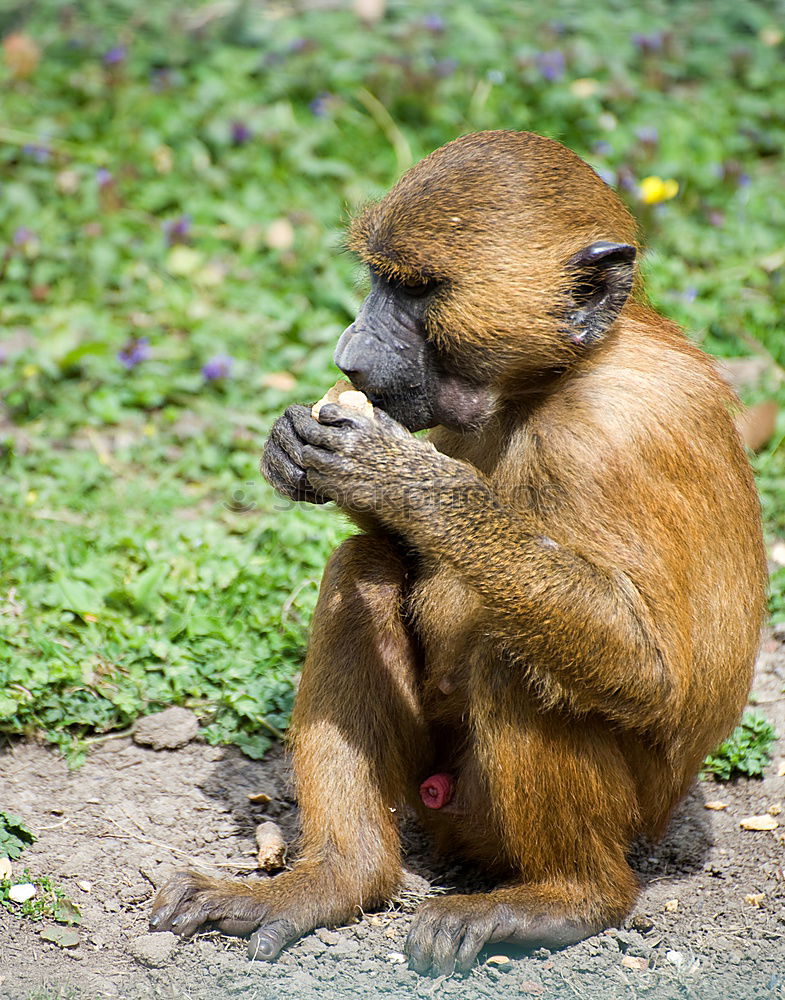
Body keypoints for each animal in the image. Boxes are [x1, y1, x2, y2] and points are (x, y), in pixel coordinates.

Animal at [150, 131, 768, 976]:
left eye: (419, 290)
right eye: (379, 279)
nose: (349, 353)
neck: (556, 377)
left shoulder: (618, 433)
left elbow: (647, 669)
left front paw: (394, 474)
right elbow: (391, 548)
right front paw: (295, 451)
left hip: (571, 810)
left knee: (519, 656)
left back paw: (568, 899)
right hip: (433, 785)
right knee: (362, 569)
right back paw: (338, 880)